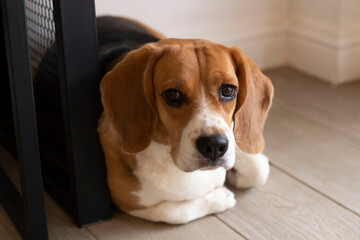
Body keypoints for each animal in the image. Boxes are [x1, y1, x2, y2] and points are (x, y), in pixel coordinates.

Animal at [97, 15, 274, 224]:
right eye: (172, 95)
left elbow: (259, 169)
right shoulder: (128, 200)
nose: (214, 145)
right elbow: (174, 212)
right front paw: (220, 197)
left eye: (228, 90)